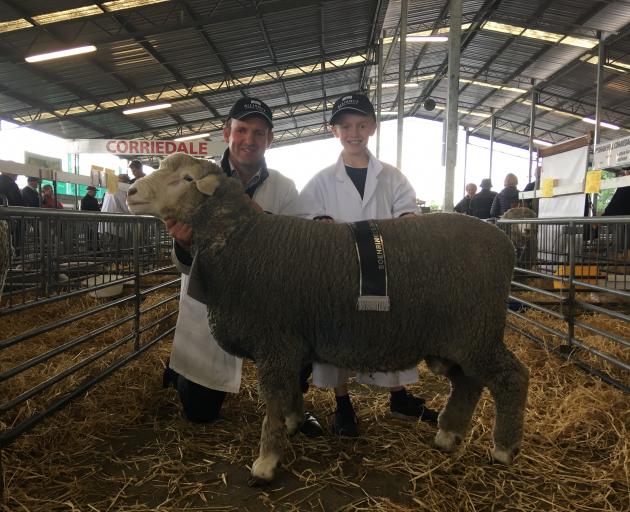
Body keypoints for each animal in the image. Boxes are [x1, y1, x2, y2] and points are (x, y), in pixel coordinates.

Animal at [126, 152, 532, 484]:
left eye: (186, 179)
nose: (130, 191)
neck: (240, 240)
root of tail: (504, 243)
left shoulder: (274, 340)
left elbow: (273, 401)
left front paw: (266, 462)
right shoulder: (288, 343)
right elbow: (288, 393)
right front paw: (293, 422)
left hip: (476, 331)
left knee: (511, 377)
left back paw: (503, 448)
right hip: (459, 339)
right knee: (468, 381)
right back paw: (448, 434)